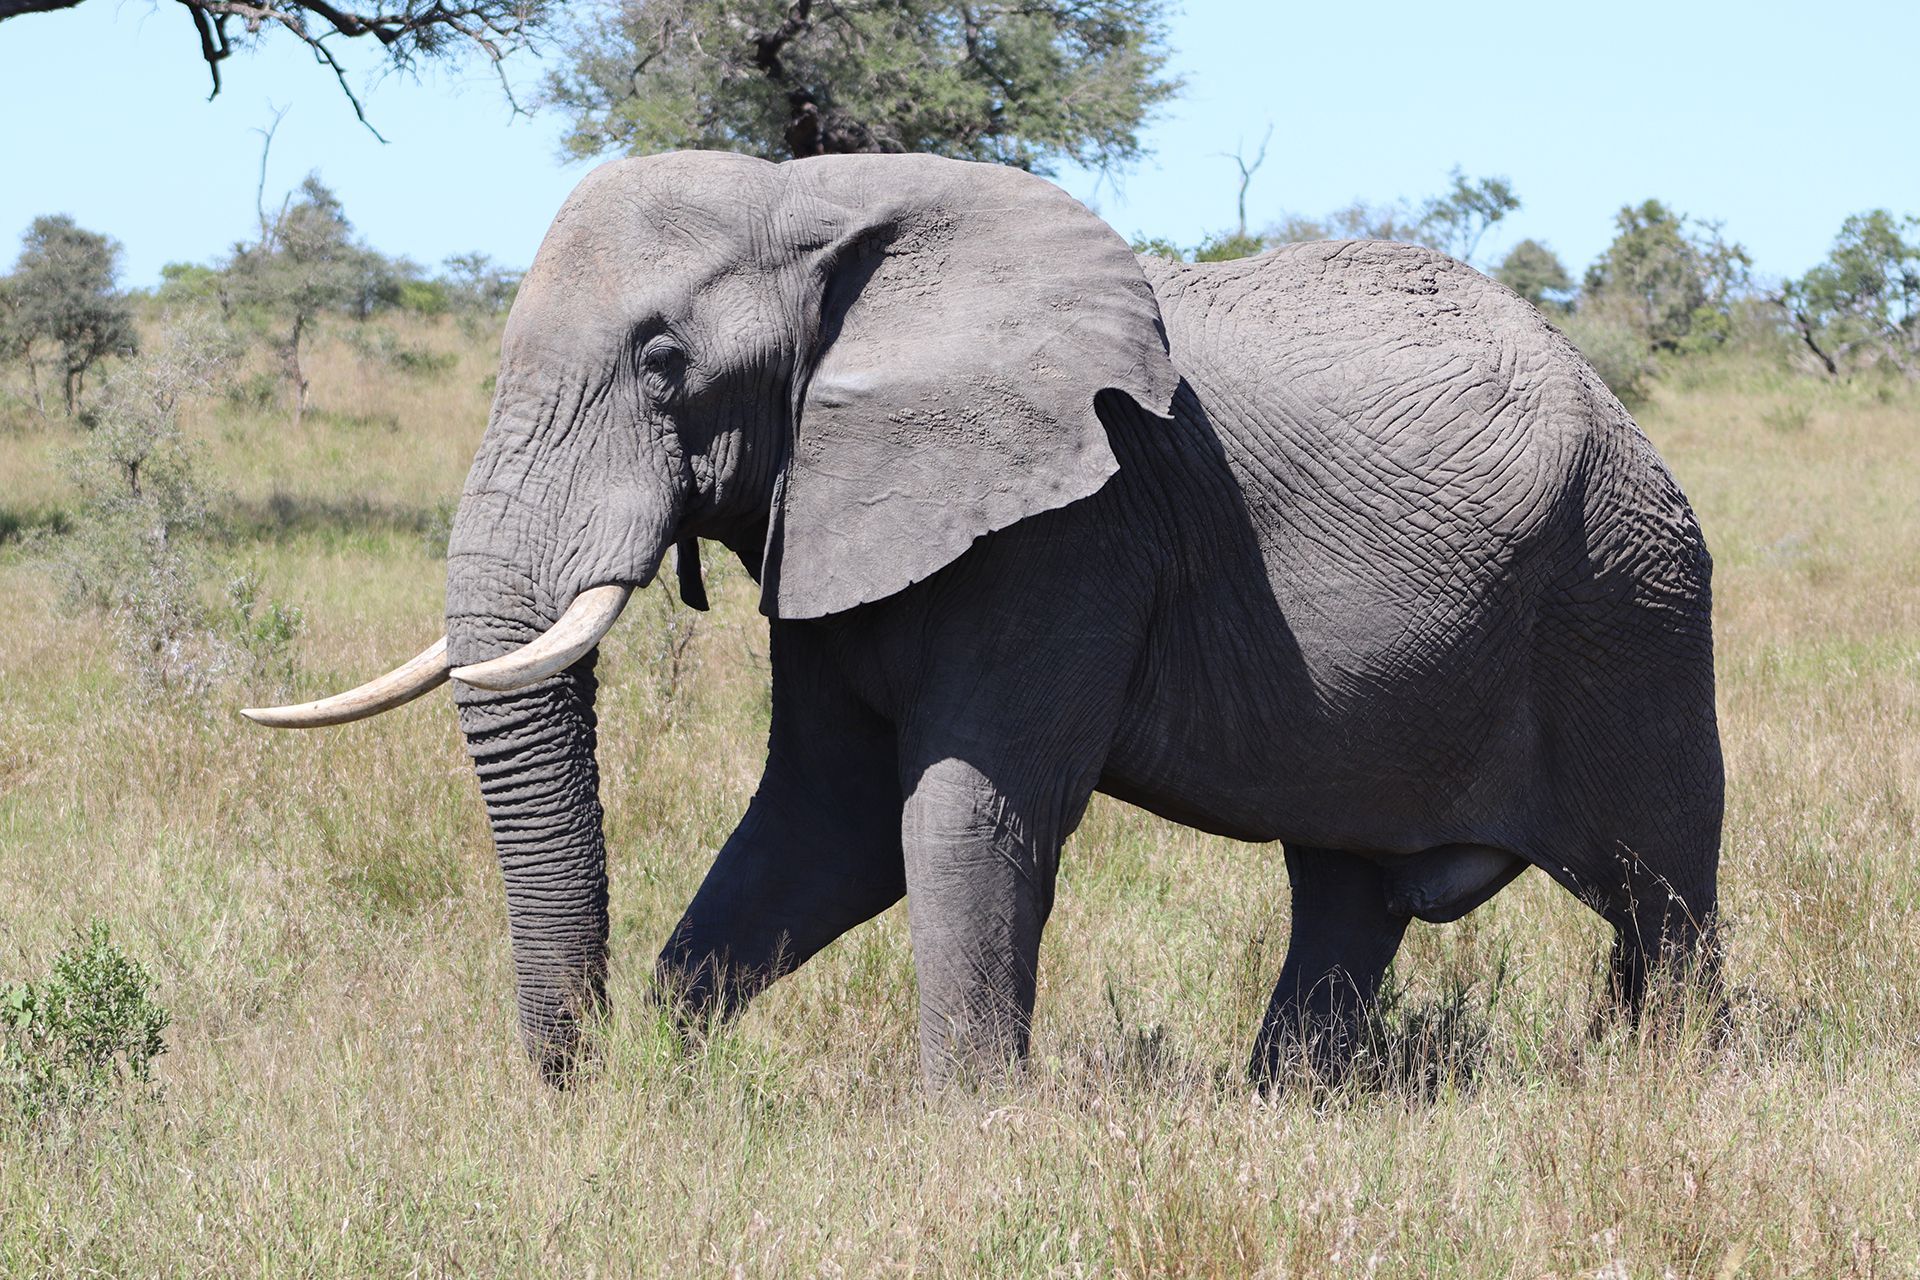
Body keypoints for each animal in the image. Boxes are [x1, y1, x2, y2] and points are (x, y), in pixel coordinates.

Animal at [244, 150, 1723, 1088]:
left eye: (664, 362)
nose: (574, 1074)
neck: (820, 200)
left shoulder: (1074, 532)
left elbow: (957, 812)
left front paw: (969, 1124)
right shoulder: (839, 505)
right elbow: (822, 821)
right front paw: (669, 1071)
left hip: (1630, 602)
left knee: (1661, 889)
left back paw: (1678, 1086)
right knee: (1346, 889)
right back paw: (1285, 1103)